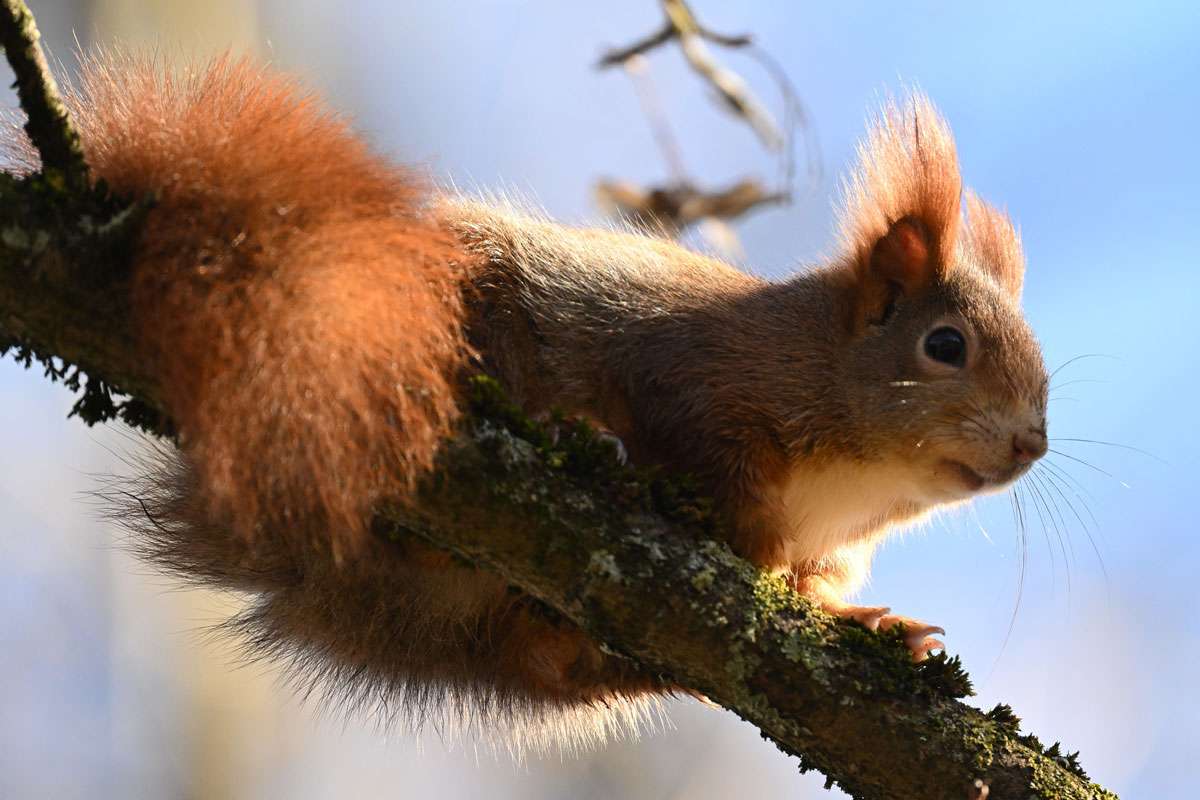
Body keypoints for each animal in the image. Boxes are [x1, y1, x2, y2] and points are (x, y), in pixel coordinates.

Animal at [4, 54, 1046, 753]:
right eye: (945, 346)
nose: (1032, 445)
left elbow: (815, 587)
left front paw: (865, 623)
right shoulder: (693, 372)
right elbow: (704, 455)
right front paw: (744, 538)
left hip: (479, 640)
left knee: (560, 664)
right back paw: (572, 441)